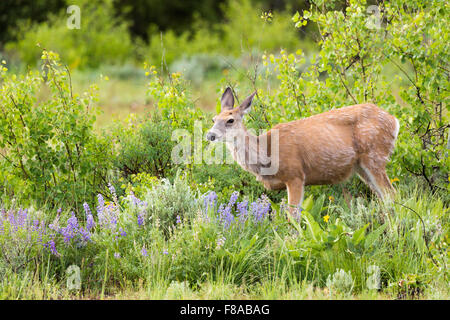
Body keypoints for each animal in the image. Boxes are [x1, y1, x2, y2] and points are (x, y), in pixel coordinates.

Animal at [206, 88, 400, 212]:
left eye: (230, 120)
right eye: (214, 119)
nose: (210, 135)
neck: (267, 152)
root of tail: (394, 121)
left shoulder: (295, 175)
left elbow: (293, 215)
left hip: (374, 155)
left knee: (392, 194)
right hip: (360, 166)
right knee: (384, 197)